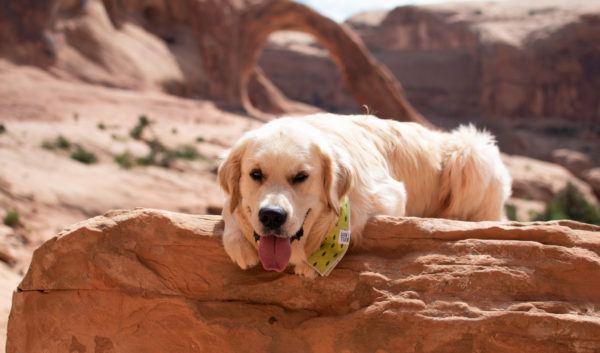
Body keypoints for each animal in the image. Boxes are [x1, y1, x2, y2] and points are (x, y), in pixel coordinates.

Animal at [219, 114, 510, 276]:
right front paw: (238, 243)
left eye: (301, 177)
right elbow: (229, 207)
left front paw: (309, 264)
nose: (271, 216)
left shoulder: (390, 196)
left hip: (471, 152)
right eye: (256, 174)